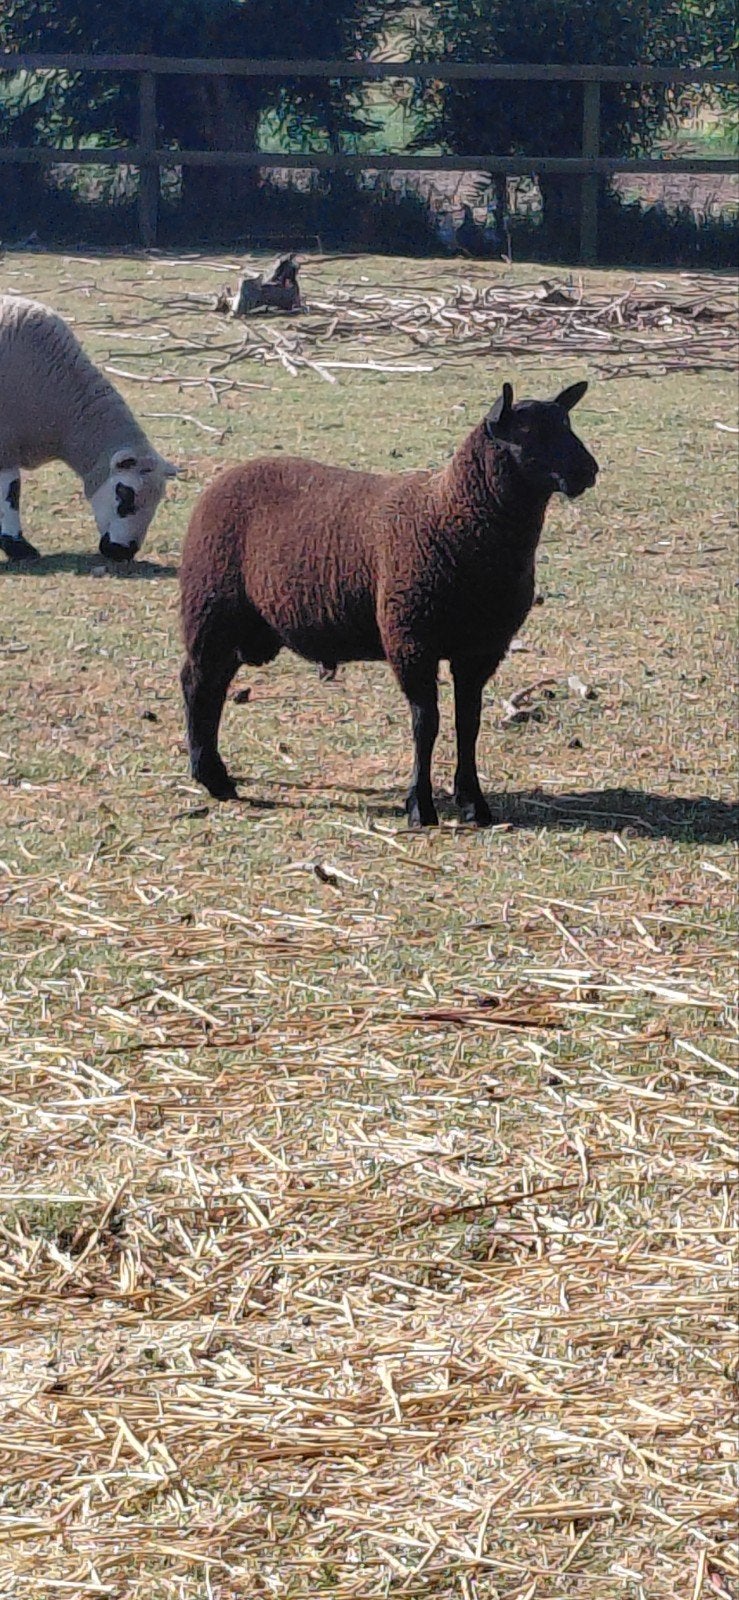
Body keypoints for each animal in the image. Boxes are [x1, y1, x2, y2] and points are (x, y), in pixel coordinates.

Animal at [179, 381, 598, 826]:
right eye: (528, 431)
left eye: (567, 422)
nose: (589, 470)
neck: (451, 514)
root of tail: (223, 479)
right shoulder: (410, 639)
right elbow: (425, 724)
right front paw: (421, 805)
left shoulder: (481, 649)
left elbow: (468, 723)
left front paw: (473, 802)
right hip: (211, 608)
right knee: (198, 683)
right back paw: (212, 777)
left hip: (238, 624)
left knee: (215, 685)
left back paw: (216, 775)